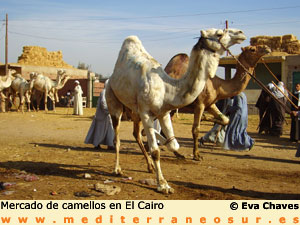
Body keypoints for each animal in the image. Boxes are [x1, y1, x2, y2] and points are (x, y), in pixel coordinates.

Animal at [105, 27, 246, 193]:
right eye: (219, 33)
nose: (241, 33)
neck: (168, 89)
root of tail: (110, 78)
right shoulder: (146, 113)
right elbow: (155, 151)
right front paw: (163, 185)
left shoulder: (163, 113)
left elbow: (173, 143)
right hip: (114, 101)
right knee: (117, 138)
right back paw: (117, 169)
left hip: (134, 111)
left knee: (136, 134)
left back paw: (149, 166)